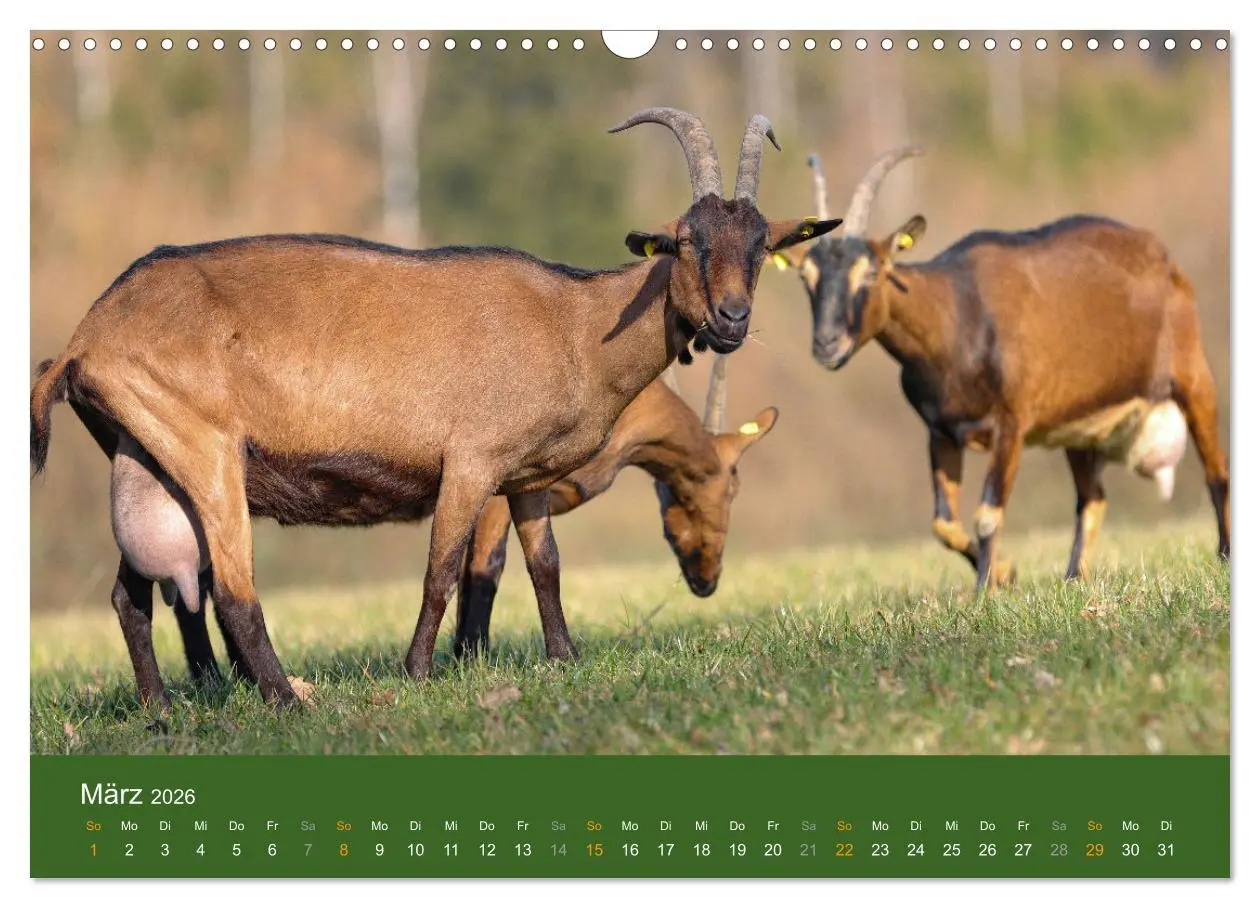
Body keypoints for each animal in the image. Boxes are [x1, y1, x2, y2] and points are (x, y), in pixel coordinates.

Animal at [774, 147, 1228, 588]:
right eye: (805, 276)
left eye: (871, 272)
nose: (827, 343)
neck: (957, 317)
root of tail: (1163, 259)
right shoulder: (941, 431)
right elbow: (943, 523)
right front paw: (1003, 574)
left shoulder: (1011, 422)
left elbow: (988, 514)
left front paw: (984, 590)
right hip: (1078, 426)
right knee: (1092, 497)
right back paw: (1073, 578)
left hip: (1192, 376)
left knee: (1217, 472)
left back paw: (1224, 555)